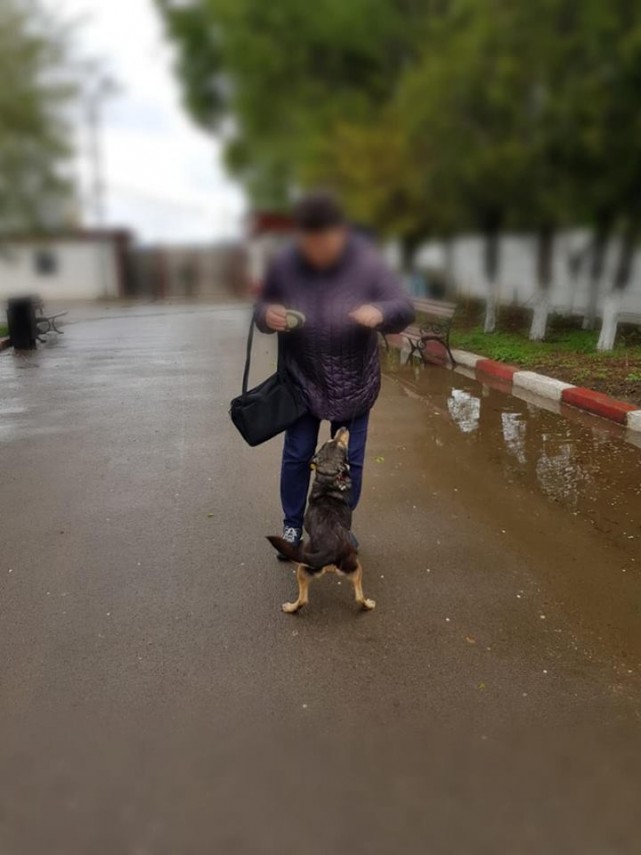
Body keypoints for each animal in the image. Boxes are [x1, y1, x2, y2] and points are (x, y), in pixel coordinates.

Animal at [266, 427, 376, 614]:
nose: (343, 427)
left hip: (303, 568)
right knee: (359, 597)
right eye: (332, 441)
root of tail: (332, 549)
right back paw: (368, 604)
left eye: (337, 442)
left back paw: (289, 607)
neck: (329, 478)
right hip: (355, 567)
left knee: (303, 600)